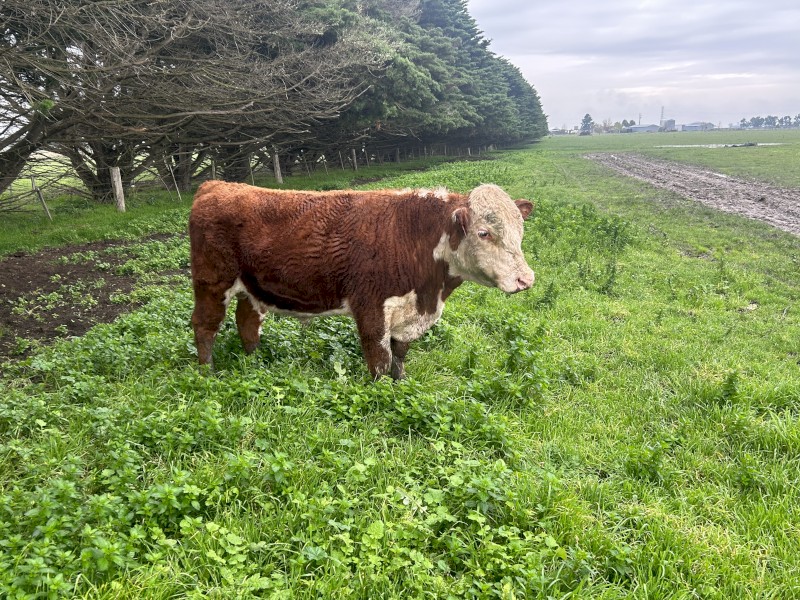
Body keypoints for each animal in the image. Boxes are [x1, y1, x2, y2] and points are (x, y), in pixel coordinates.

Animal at [189, 181, 535, 379]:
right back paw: (207, 373)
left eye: (520, 229)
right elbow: (379, 356)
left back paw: (254, 361)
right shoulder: (370, 305)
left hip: (251, 286)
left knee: (247, 320)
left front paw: (401, 383)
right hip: (212, 281)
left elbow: (400, 353)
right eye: (484, 232)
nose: (526, 279)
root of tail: (216, 184)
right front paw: (382, 392)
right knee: (205, 325)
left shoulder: (408, 310)